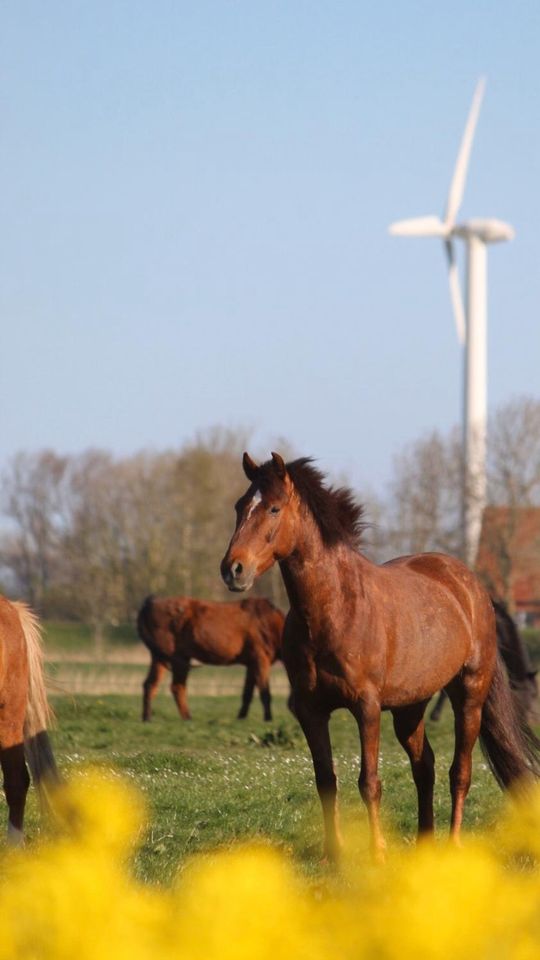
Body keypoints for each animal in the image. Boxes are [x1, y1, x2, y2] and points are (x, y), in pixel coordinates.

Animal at [137, 596, 284, 724]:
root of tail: (148, 604)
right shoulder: (261, 659)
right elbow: (265, 693)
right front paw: (268, 719)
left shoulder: (251, 663)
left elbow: (247, 694)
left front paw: (241, 717)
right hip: (177, 658)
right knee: (176, 687)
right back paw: (187, 718)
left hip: (162, 657)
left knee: (151, 684)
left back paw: (147, 718)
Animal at [220, 452, 540, 864]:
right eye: (240, 506)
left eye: (274, 508)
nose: (233, 569)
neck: (334, 609)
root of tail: (471, 586)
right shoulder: (310, 709)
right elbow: (326, 779)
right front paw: (333, 855)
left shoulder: (367, 707)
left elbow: (369, 781)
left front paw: (378, 853)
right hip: (410, 707)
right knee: (425, 766)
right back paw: (424, 846)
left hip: (469, 695)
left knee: (460, 771)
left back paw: (453, 847)